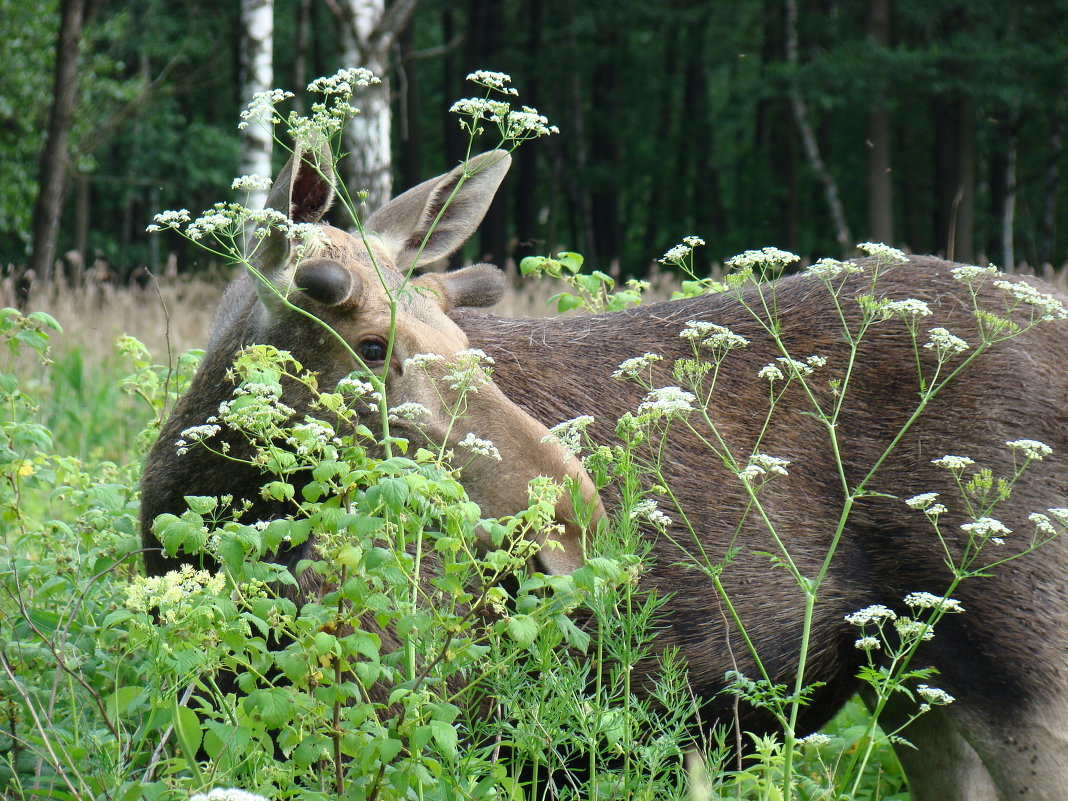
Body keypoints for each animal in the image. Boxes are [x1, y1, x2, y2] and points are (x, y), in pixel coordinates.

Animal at [142, 140, 1068, 798]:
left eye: (462, 332)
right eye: (371, 345)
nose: (577, 510)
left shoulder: (409, 715)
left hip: (1029, 677)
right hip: (920, 685)